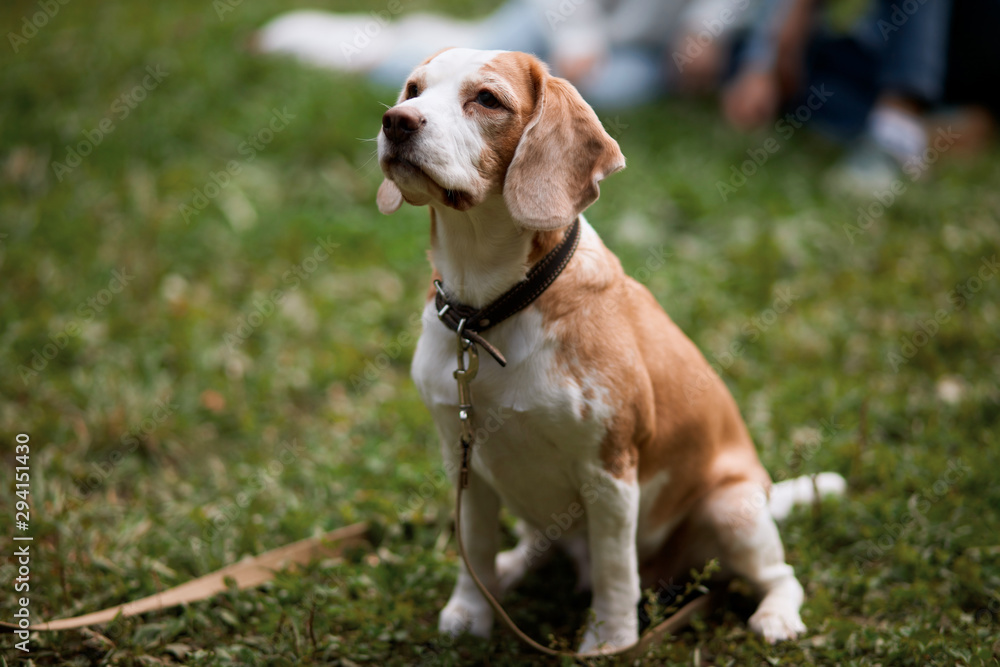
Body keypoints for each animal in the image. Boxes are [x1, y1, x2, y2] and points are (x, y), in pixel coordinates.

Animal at [376, 49, 844, 656]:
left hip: (733, 509)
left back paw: (777, 616)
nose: (396, 121)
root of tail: (765, 490)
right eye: (413, 90)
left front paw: (611, 640)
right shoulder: (466, 463)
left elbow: (616, 568)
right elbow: (472, 547)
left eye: (486, 99)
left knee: (779, 576)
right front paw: (472, 611)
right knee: (539, 545)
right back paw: (510, 571)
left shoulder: (611, 471)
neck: (490, 312)